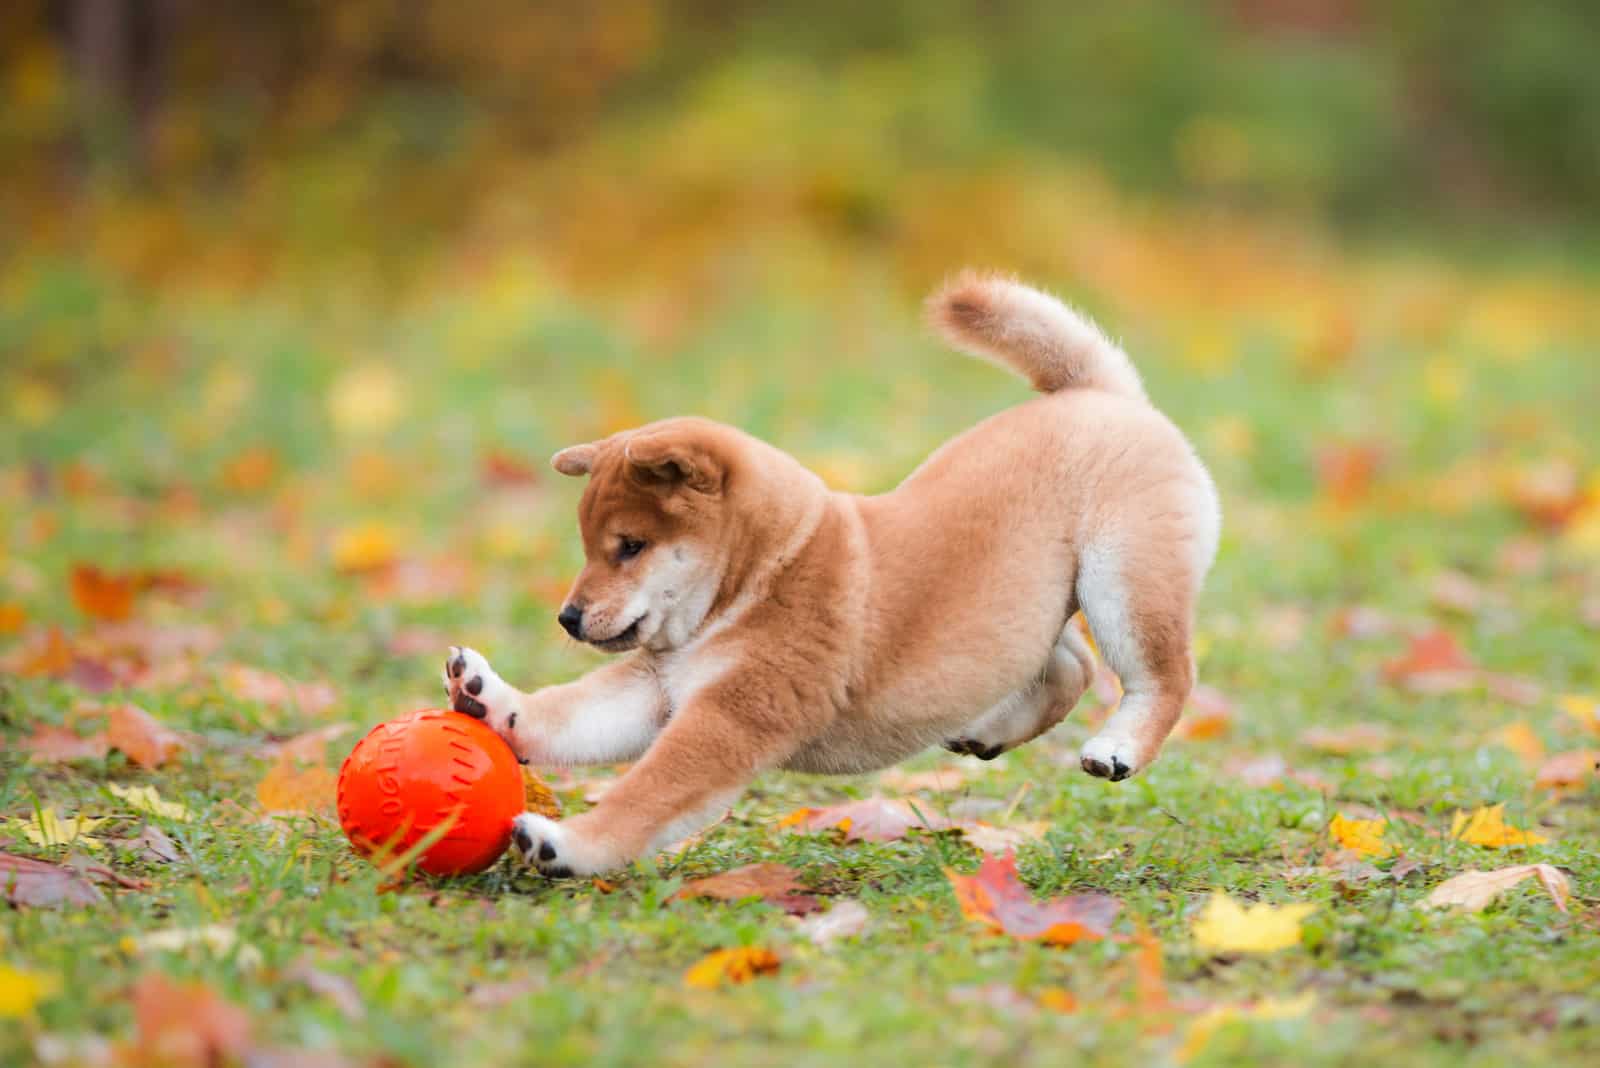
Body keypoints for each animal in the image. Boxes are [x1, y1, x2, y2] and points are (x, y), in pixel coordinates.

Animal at [444, 271, 1216, 869]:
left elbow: (645, 795)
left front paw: (568, 844)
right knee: (1071, 666)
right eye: (588, 546)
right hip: (1024, 611)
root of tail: (1101, 397)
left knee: (1165, 675)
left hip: (1123, 581)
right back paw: (991, 729)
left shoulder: (731, 714)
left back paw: (1117, 747)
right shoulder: (659, 690)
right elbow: (568, 715)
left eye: (629, 546)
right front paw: (489, 697)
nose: (568, 618)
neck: (763, 575)